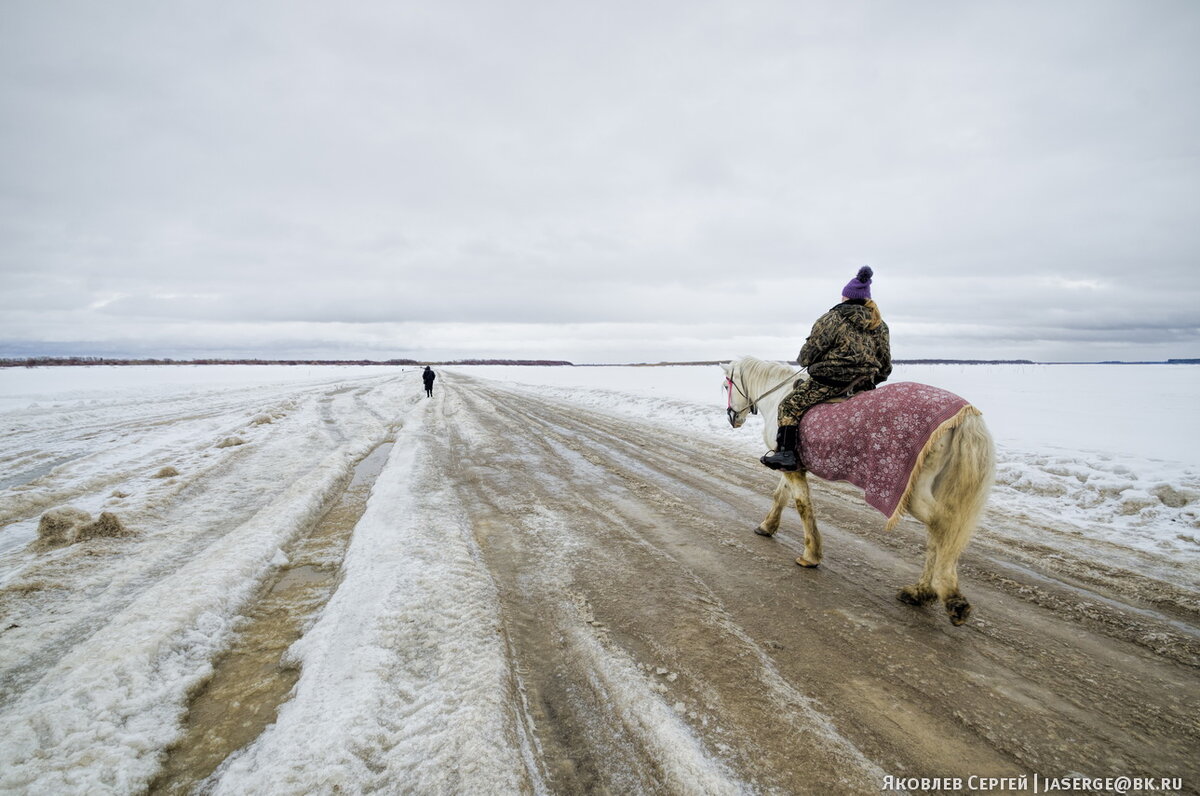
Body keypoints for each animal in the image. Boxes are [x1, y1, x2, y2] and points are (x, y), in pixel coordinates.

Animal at [720, 357, 993, 624]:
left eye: (725, 386)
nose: (732, 418)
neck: (778, 395)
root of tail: (965, 415)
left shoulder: (791, 467)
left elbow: (802, 505)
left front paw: (810, 555)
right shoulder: (793, 465)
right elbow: (781, 496)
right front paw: (767, 527)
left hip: (915, 491)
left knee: (942, 525)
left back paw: (944, 595)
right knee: (939, 532)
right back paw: (920, 593)